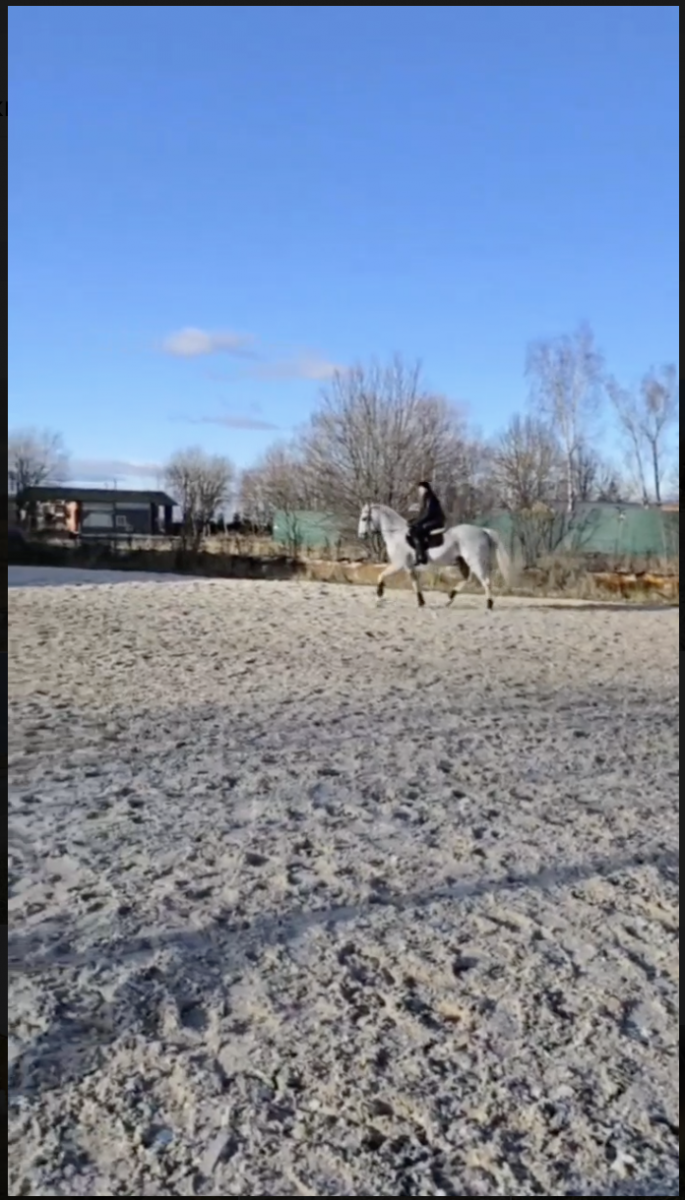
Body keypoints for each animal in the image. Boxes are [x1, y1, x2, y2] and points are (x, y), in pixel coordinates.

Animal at [357, 502, 514, 610]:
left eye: (364, 518)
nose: (361, 536)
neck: (397, 534)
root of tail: (483, 530)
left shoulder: (398, 564)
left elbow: (381, 576)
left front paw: (378, 599)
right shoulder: (409, 567)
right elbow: (415, 584)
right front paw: (421, 603)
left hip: (475, 562)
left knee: (485, 581)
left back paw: (489, 605)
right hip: (463, 562)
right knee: (468, 579)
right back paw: (449, 599)